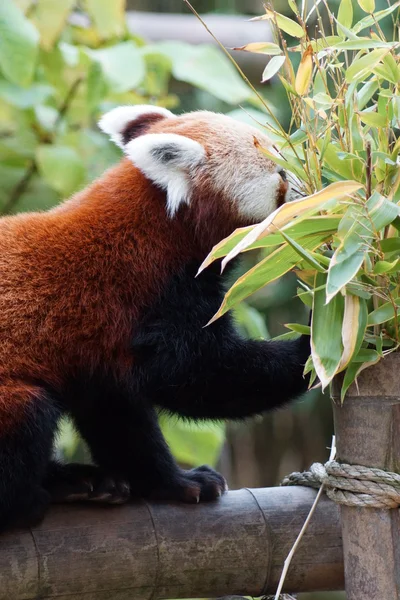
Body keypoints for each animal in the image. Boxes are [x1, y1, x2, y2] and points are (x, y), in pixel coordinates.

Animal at [0, 106, 310, 528]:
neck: (159, 231)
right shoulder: (147, 300)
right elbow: (201, 376)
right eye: (280, 172)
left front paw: (174, 483)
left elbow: (121, 420)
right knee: (28, 416)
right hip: (9, 398)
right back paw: (42, 495)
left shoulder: (101, 351)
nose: (313, 190)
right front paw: (318, 347)